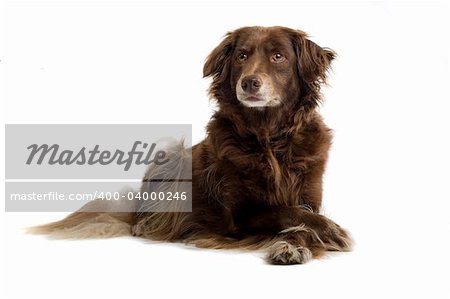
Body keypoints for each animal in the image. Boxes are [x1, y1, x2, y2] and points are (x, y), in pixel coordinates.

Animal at [32, 25, 356, 264]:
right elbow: (285, 212)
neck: (268, 137)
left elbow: (299, 216)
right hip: (170, 156)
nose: (249, 82)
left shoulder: (308, 195)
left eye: (278, 56)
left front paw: (294, 244)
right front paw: (328, 230)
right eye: (242, 55)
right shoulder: (238, 217)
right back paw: (147, 225)